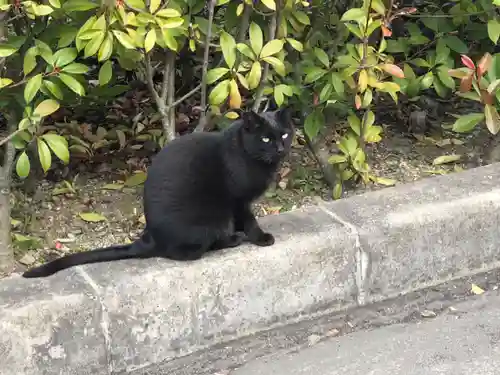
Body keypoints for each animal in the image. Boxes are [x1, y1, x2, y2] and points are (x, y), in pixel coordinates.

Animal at [23, 107, 294, 278]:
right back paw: (232, 239)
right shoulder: (238, 201)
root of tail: (150, 238)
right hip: (210, 221)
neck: (252, 158)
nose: (280, 148)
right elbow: (249, 220)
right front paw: (260, 237)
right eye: (266, 139)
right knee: (186, 251)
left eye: (284, 134)